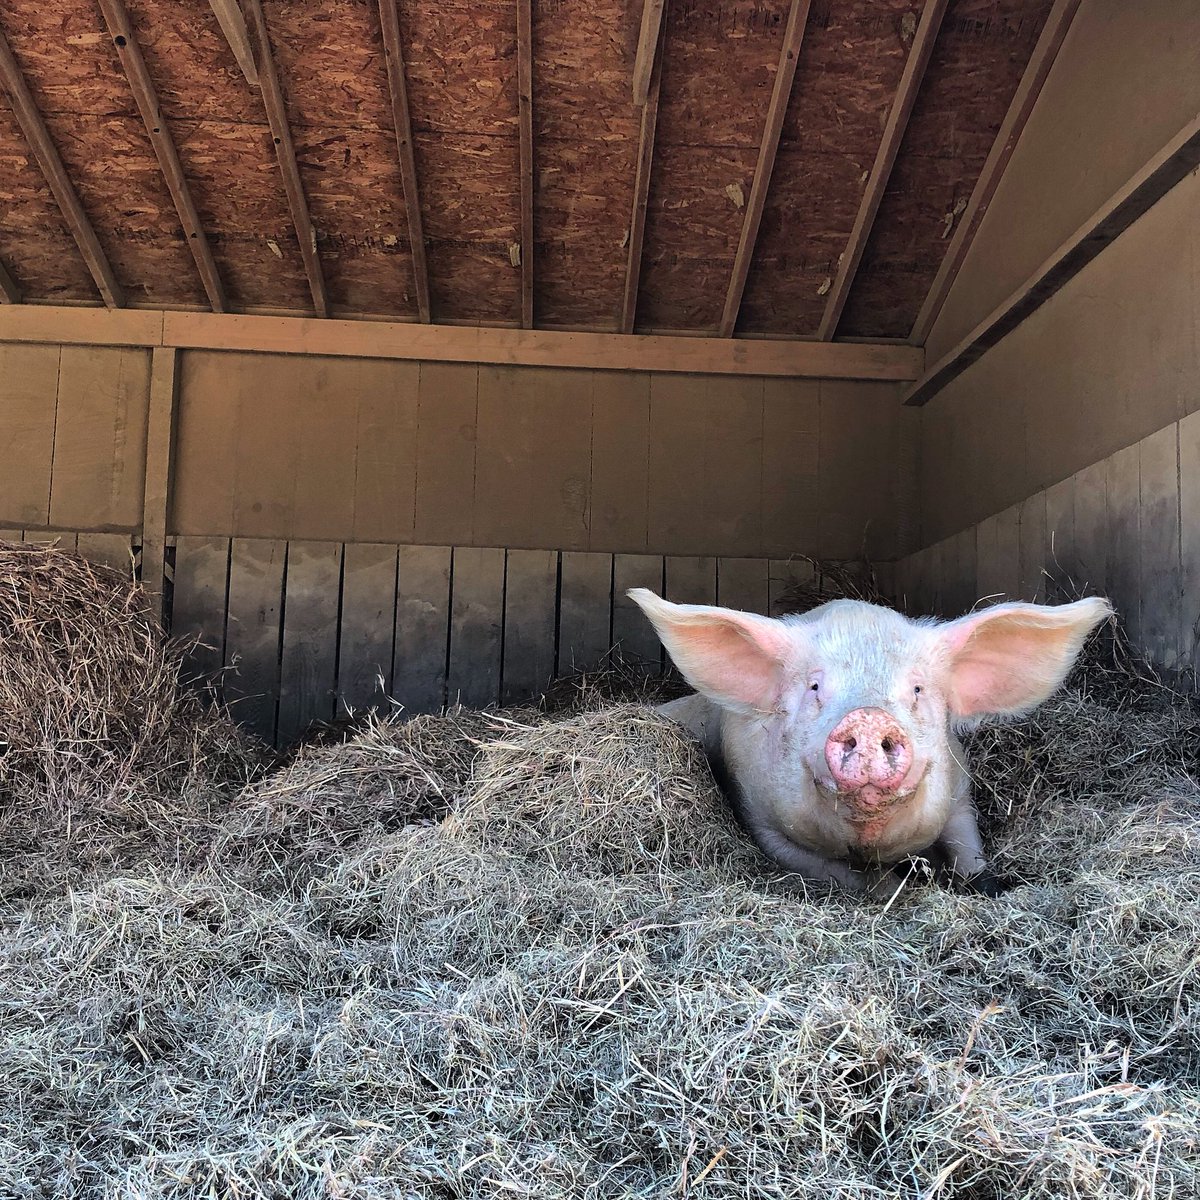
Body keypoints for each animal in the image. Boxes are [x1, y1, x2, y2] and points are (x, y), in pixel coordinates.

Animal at [629, 589, 1111, 898]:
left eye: (917, 689)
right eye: (815, 687)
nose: (869, 715)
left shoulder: (959, 791)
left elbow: (968, 849)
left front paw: (986, 886)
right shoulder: (760, 819)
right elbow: (840, 874)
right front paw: (901, 886)